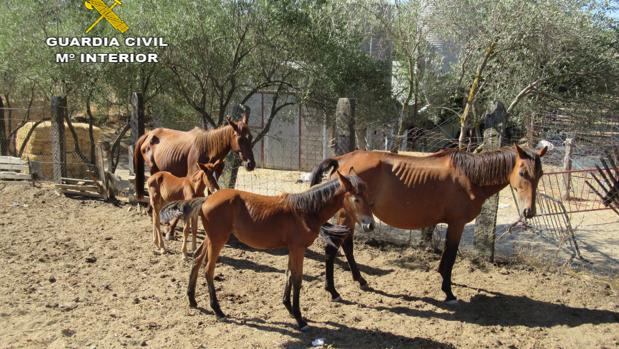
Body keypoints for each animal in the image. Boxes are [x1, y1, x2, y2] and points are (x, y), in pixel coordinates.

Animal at [160, 169, 376, 328]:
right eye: (356, 199)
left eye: (367, 195)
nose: (370, 225)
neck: (305, 211)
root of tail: (205, 199)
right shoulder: (298, 248)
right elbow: (297, 279)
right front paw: (300, 318)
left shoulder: (292, 249)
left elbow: (289, 274)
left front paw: (289, 308)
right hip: (218, 240)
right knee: (208, 269)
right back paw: (218, 310)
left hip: (211, 239)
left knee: (197, 259)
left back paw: (192, 300)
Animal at [310, 144, 548, 302]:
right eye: (522, 172)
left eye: (541, 174)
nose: (529, 211)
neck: (469, 176)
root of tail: (342, 160)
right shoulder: (457, 223)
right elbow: (451, 256)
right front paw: (448, 292)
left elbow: (446, 256)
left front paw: (443, 278)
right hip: (346, 216)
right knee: (333, 248)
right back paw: (333, 291)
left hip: (353, 217)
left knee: (347, 246)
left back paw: (360, 280)